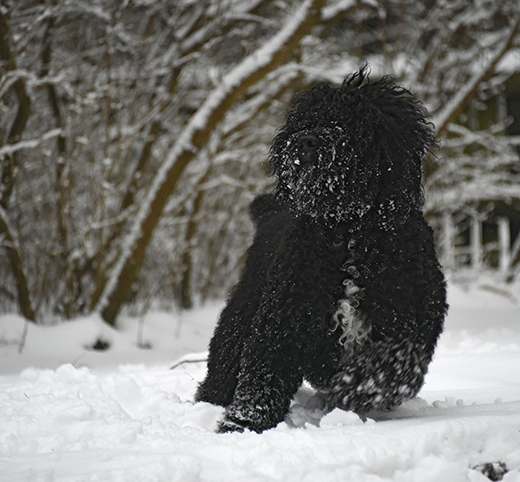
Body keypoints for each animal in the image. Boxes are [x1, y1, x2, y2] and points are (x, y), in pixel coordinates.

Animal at [195, 68, 446, 434]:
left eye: (350, 122)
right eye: (305, 120)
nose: (306, 141)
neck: (348, 232)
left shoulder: (412, 319)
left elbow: (396, 364)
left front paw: (358, 387)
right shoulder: (283, 319)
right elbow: (262, 374)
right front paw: (243, 423)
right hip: (241, 313)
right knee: (224, 365)